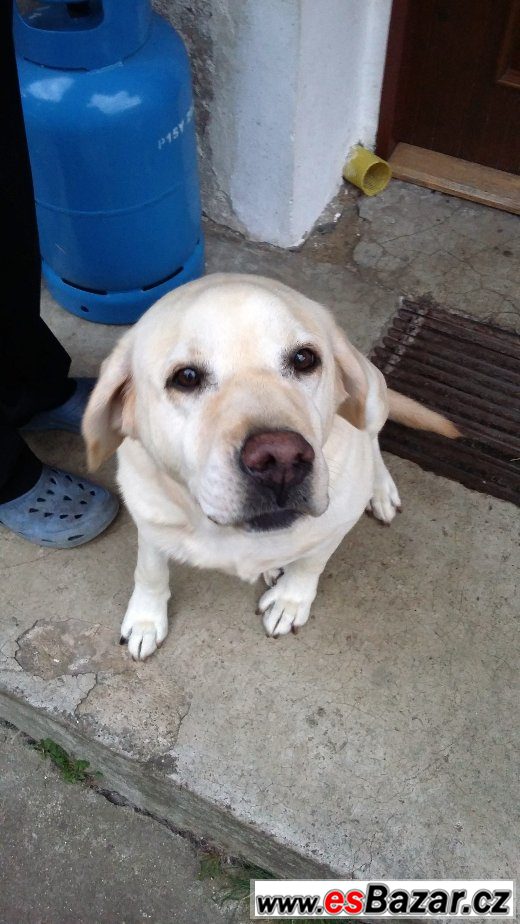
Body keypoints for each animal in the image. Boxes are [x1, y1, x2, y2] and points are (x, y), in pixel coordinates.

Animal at [83, 270, 458, 660]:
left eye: (304, 359)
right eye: (185, 377)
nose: (281, 459)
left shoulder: (335, 524)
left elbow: (311, 564)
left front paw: (291, 601)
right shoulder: (150, 520)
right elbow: (150, 571)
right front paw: (146, 619)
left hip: (372, 396)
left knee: (373, 439)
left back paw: (380, 489)